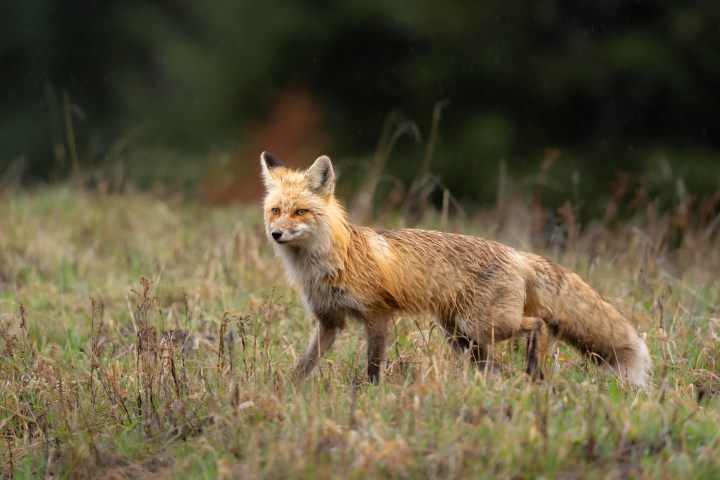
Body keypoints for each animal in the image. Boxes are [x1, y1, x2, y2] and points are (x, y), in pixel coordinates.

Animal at [260, 151, 652, 387]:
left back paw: (533, 372)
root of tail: (517, 253)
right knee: (498, 368)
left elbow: (373, 366)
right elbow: (304, 365)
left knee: (538, 326)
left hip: (482, 326)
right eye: (276, 211)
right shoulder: (329, 322)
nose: (276, 234)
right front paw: (287, 392)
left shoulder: (377, 314)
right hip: (462, 336)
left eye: (300, 212)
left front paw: (368, 396)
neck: (325, 265)